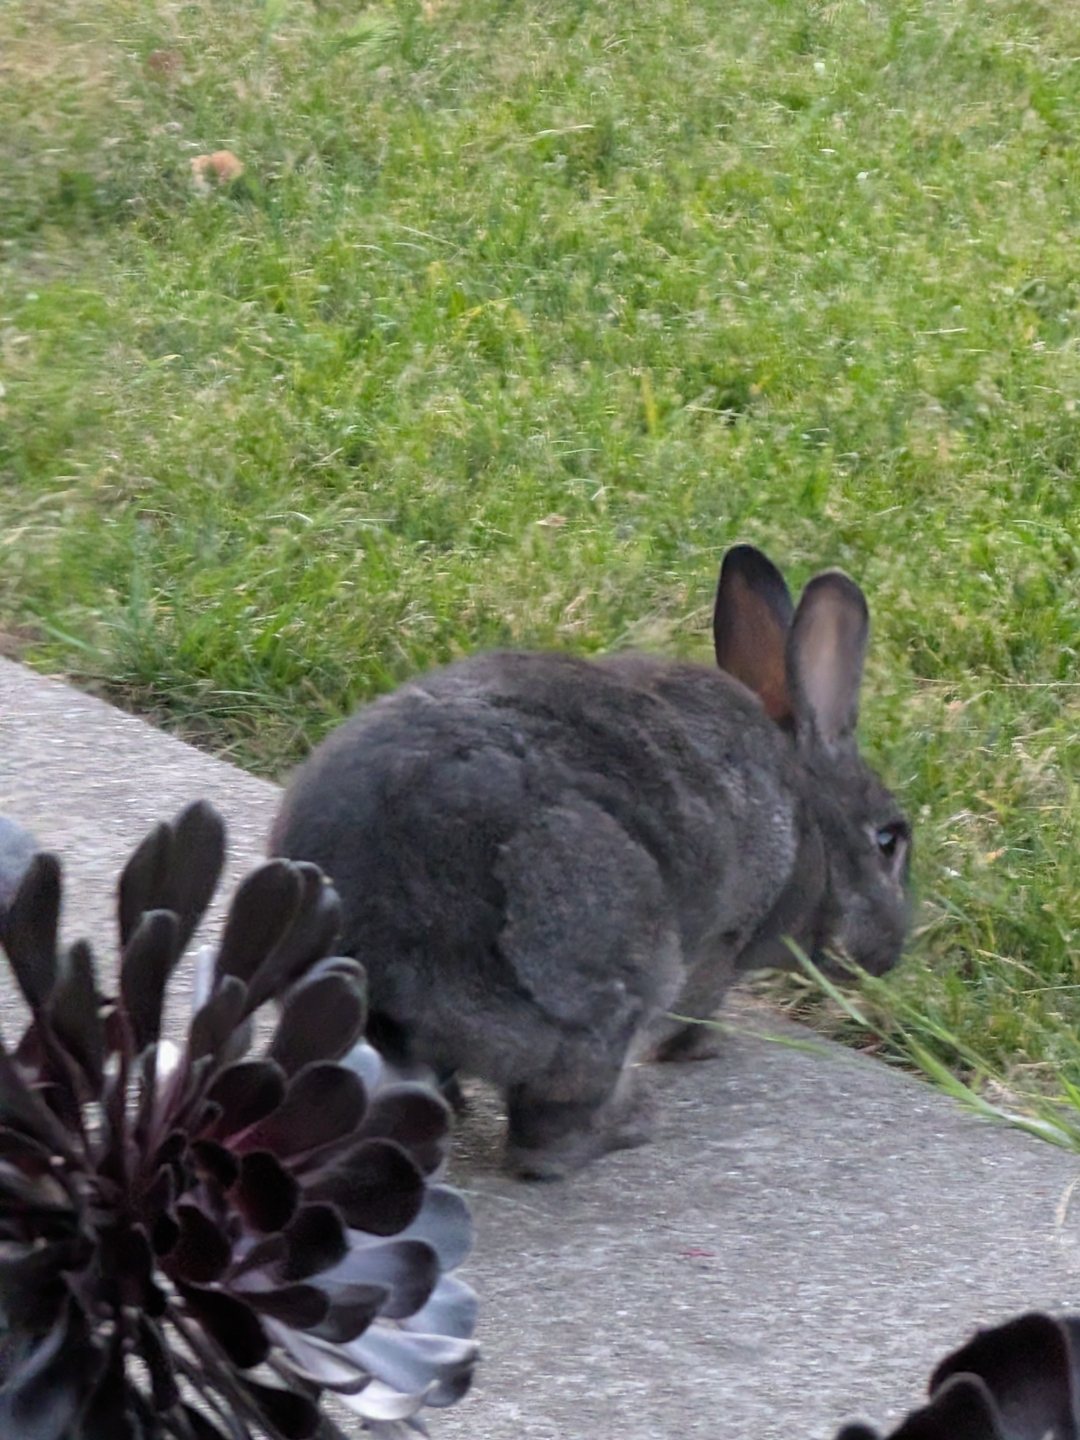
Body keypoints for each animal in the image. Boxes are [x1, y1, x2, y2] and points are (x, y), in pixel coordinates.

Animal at [270, 544, 911, 1178]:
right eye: (889, 840)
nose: (891, 953)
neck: (810, 815)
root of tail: (379, 977)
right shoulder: (724, 944)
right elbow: (697, 1006)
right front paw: (698, 1051)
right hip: (603, 974)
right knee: (545, 1139)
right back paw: (628, 1126)